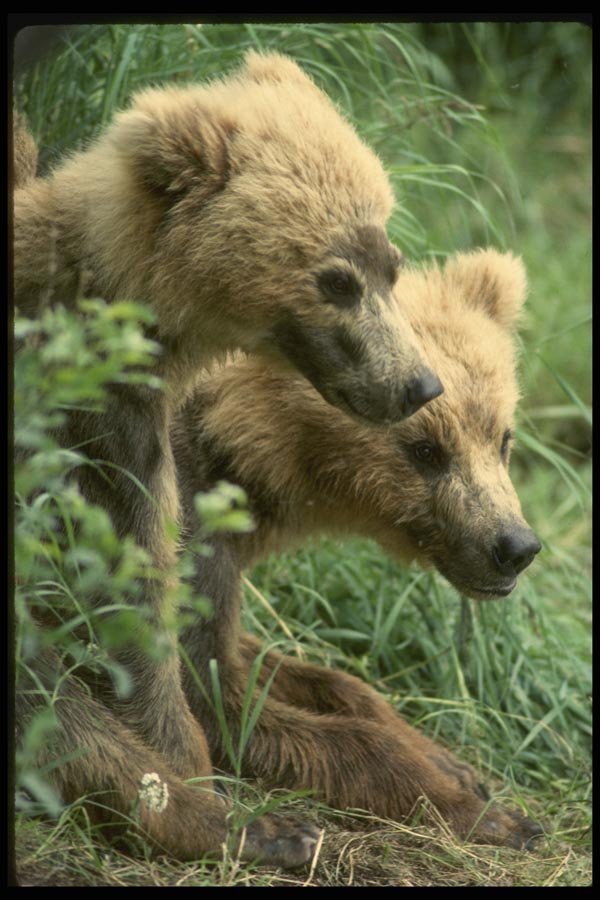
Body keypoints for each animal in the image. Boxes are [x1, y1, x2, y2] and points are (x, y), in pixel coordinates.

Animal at [170, 248, 542, 848]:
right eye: (425, 449)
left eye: (501, 437)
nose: (513, 546)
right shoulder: (177, 519)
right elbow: (210, 695)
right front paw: (490, 813)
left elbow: (305, 672)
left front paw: (451, 762)